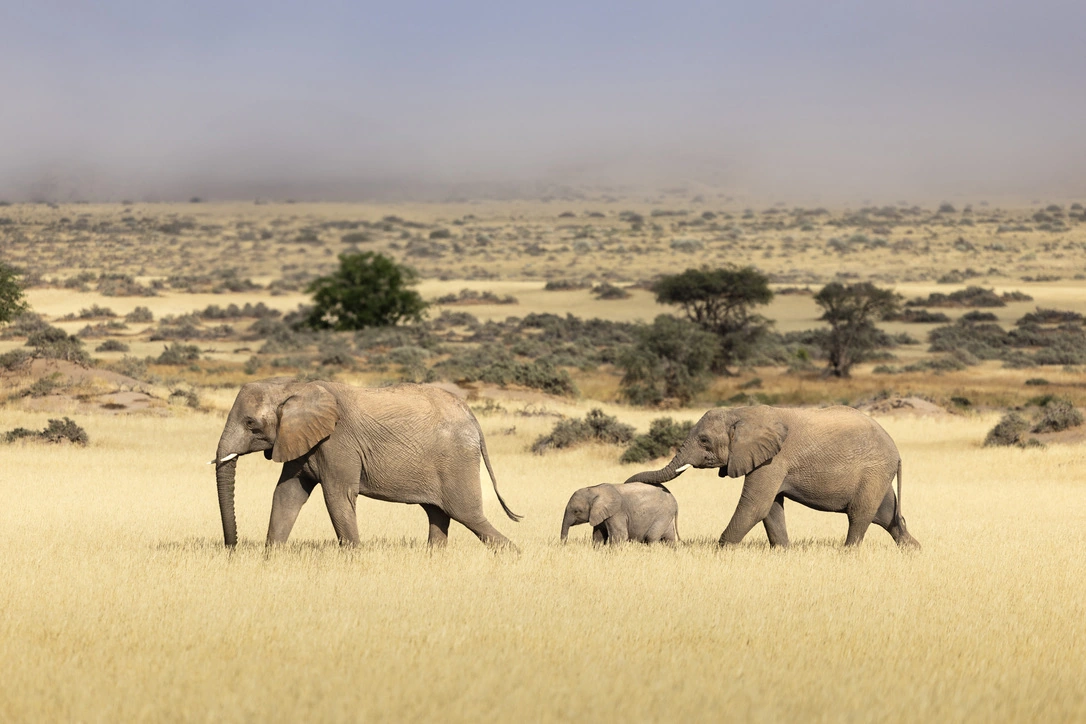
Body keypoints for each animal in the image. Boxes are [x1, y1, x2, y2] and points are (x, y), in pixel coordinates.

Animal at [212, 377, 520, 549]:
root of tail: (472, 417)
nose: (232, 549)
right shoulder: (301, 440)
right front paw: (270, 558)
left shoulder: (337, 442)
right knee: (438, 513)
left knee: (467, 514)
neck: (293, 387)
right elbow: (287, 494)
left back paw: (514, 556)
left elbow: (337, 496)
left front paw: (353, 559)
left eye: (250, 424)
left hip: (456, 459)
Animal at [624, 405, 919, 548]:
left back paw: (847, 553)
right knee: (887, 515)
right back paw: (913, 551)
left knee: (860, 515)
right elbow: (771, 508)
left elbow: (755, 505)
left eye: (704, 440)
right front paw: (784, 552)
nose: (628, 484)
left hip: (873, 471)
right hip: (878, 474)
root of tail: (897, 452)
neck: (741, 412)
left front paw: (720, 551)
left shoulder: (773, 459)